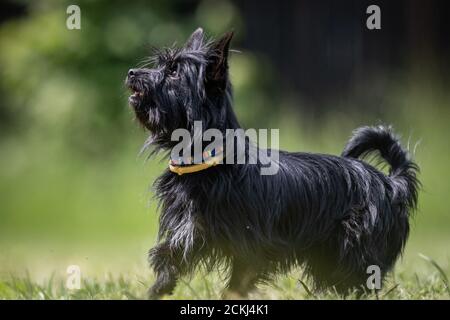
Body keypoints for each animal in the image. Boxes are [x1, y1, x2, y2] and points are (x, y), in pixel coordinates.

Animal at [125, 28, 418, 298]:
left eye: (173, 72)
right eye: (161, 65)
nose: (131, 72)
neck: (212, 162)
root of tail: (391, 183)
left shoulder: (249, 244)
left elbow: (236, 280)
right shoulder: (193, 229)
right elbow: (171, 259)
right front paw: (157, 290)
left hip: (355, 251)